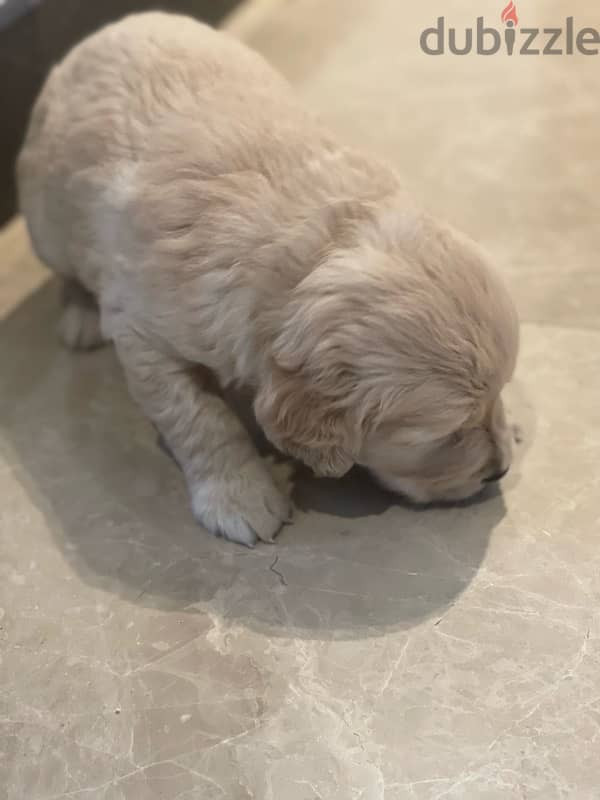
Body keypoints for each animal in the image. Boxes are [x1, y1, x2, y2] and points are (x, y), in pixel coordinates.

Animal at [16, 12, 516, 548]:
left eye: (498, 395)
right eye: (447, 435)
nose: (501, 471)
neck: (314, 243)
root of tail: (108, 29)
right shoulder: (143, 332)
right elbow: (201, 418)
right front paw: (240, 496)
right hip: (45, 217)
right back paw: (80, 316)